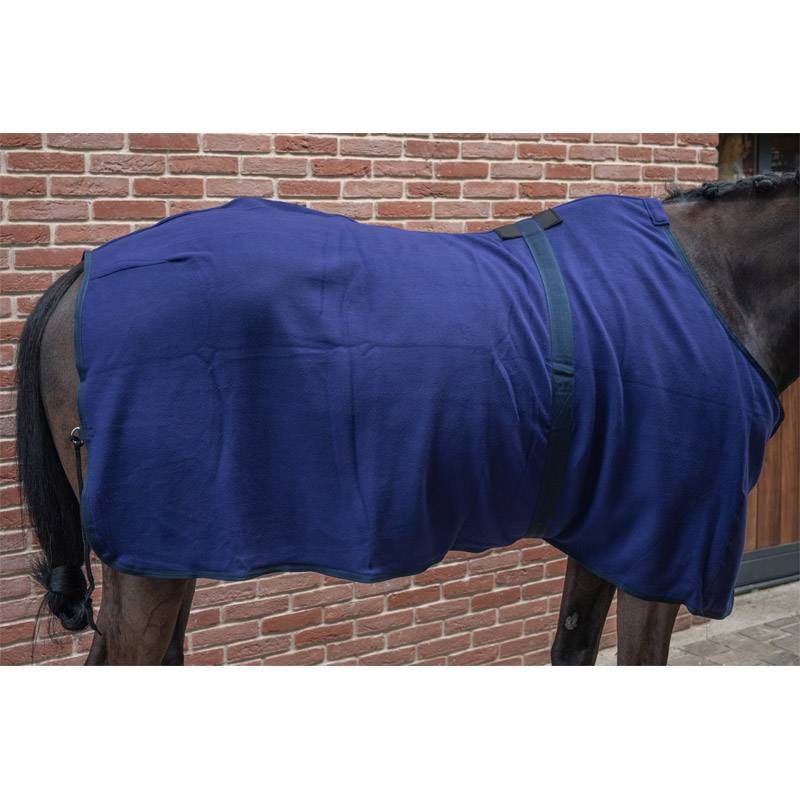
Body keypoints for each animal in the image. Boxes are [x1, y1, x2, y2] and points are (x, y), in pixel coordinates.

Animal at [15, 172, 799, 666]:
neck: (713, 286)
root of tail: (87, 269)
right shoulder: (665, 555)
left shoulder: (614, 534)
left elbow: (572, 649)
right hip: (151, 559)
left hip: (165, 557)